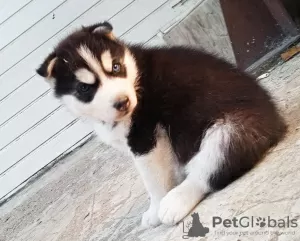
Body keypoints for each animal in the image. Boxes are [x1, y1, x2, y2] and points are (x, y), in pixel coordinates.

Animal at [35, 21, 286, 227]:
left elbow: (154, 181)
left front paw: (155, 208)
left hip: (231, 130)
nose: (123, 102)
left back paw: (175, 201)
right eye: (84, 88)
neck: (135, 79)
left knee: (209, 170)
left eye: (115, 67)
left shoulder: (146, 138)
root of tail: (275, 118)